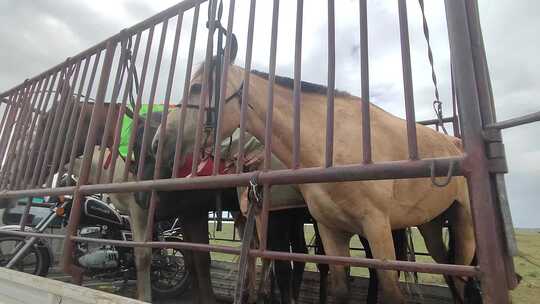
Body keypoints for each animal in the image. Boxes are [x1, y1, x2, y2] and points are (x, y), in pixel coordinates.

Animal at [154, 60, 474, 302]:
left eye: (196, 87)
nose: (158, 142)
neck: (332, 144)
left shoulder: (376, 227)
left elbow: (390, 290)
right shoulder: (330, 230)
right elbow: (338, 288)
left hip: (463, 221)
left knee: (463, 274)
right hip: (430, 224)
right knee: (450, 269)